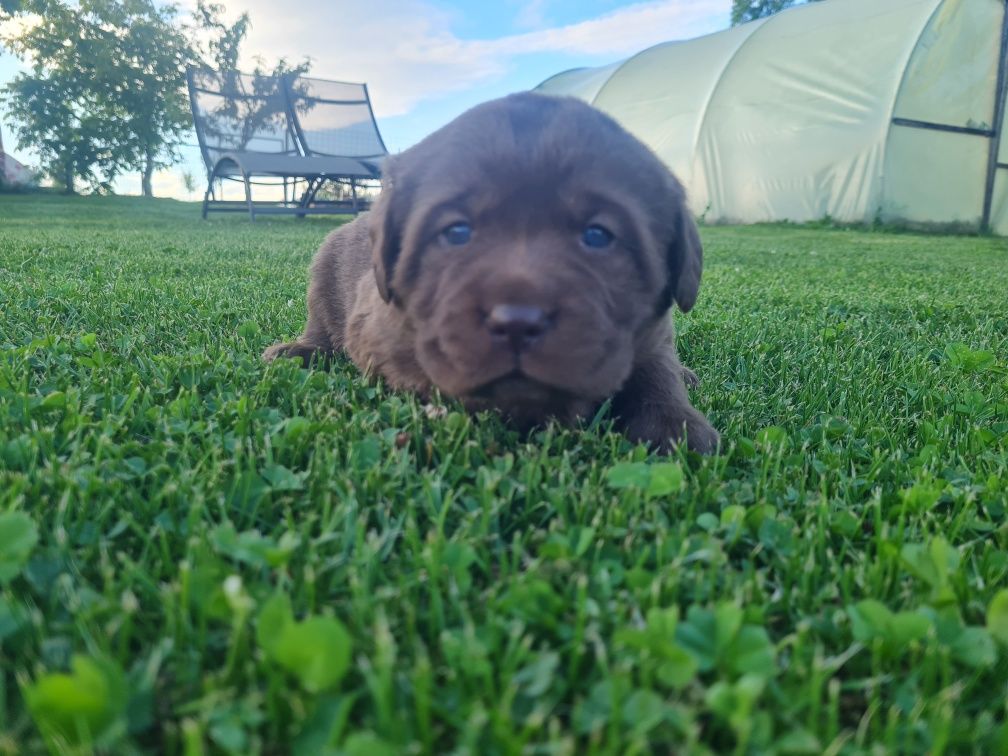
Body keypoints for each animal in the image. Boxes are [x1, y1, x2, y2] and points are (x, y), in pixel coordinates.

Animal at [264, 91, 721, 453]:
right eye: (456, 231)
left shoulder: (655, 333)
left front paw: (676, 425)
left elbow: (656, 371)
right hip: (323, 274)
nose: (518, 322)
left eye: (597, 235)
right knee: (322, 333)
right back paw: (295, 351)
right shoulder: (376, 330)